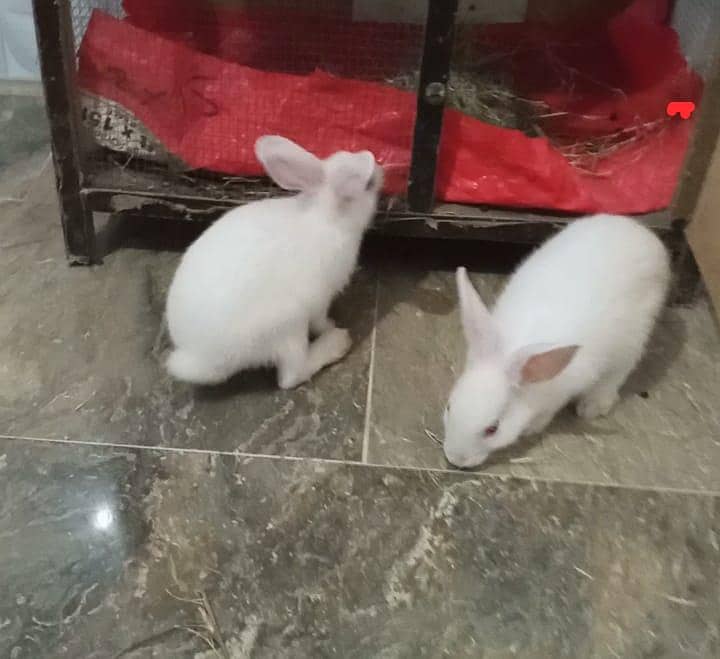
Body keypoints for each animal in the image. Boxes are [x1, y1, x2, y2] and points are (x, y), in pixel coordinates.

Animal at [165, 135, 383, 388]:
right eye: (368, 184)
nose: (381, 168)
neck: (326, 215)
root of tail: (202, 359)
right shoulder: (320, 298)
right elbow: (319, 320)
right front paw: (330, 325)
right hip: (288, 325)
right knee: (291, 376)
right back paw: (337, 342)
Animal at [443, 213, 671, 469]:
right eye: (449, 406)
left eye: (492, 429)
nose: (455, 459)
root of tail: (642, 232)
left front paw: (532, 428)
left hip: (635, 336)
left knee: (618, 372)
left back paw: (591, 407)